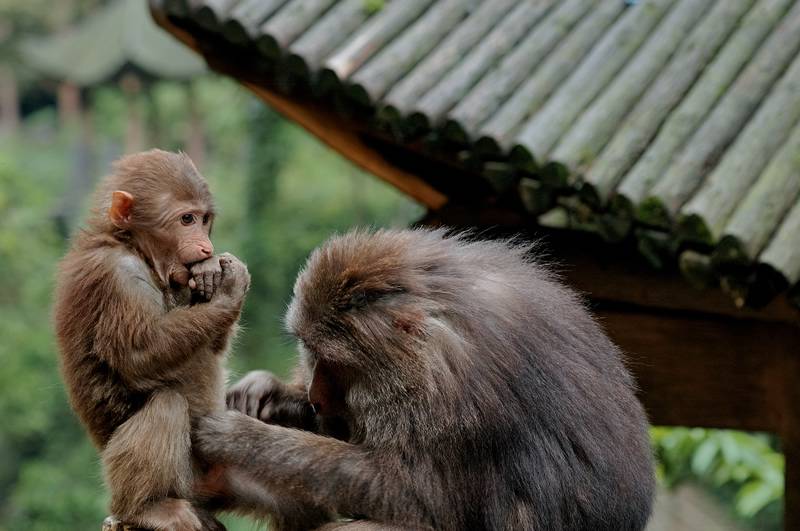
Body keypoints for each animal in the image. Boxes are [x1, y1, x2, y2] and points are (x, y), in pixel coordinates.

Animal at [55, 151, 250, 531]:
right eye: (186, 219)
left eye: (204, 219)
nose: (205, 246)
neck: (135, 249)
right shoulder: (117, 276)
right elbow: (139, 355)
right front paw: (229, 287)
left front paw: (211, 271)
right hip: (183, 480)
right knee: (168, 403)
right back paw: (147, 507)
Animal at [195, 230, 656, 531]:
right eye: (311, 353)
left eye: (334, 363)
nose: (317, 398)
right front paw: (268, 392)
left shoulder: (447, 394)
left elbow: (415, 497)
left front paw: (242, 437)